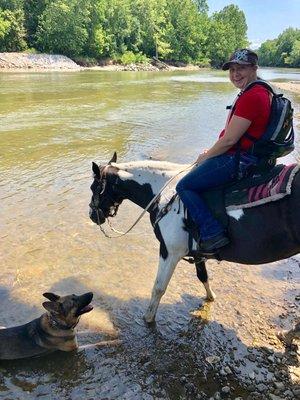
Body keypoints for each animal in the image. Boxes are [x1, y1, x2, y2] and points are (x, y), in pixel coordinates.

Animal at [89, 152, 300, 324]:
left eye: (93, 187)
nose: (92, 215)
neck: (165, 195)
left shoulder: (169, 252)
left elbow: (159, 287)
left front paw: (148, 319)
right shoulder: (198, 252)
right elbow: (202, 276)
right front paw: (211, 297)